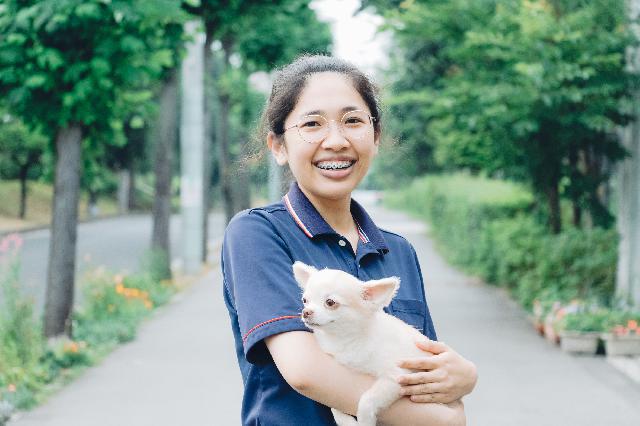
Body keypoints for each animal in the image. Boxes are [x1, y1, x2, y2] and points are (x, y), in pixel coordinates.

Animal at [292, 262, 432, 424]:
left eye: (330, 302)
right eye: (305, 300)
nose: (306, 312)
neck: (346, 339)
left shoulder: (398, 376)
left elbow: (367, 400)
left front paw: (364, 421)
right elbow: (335, 407)